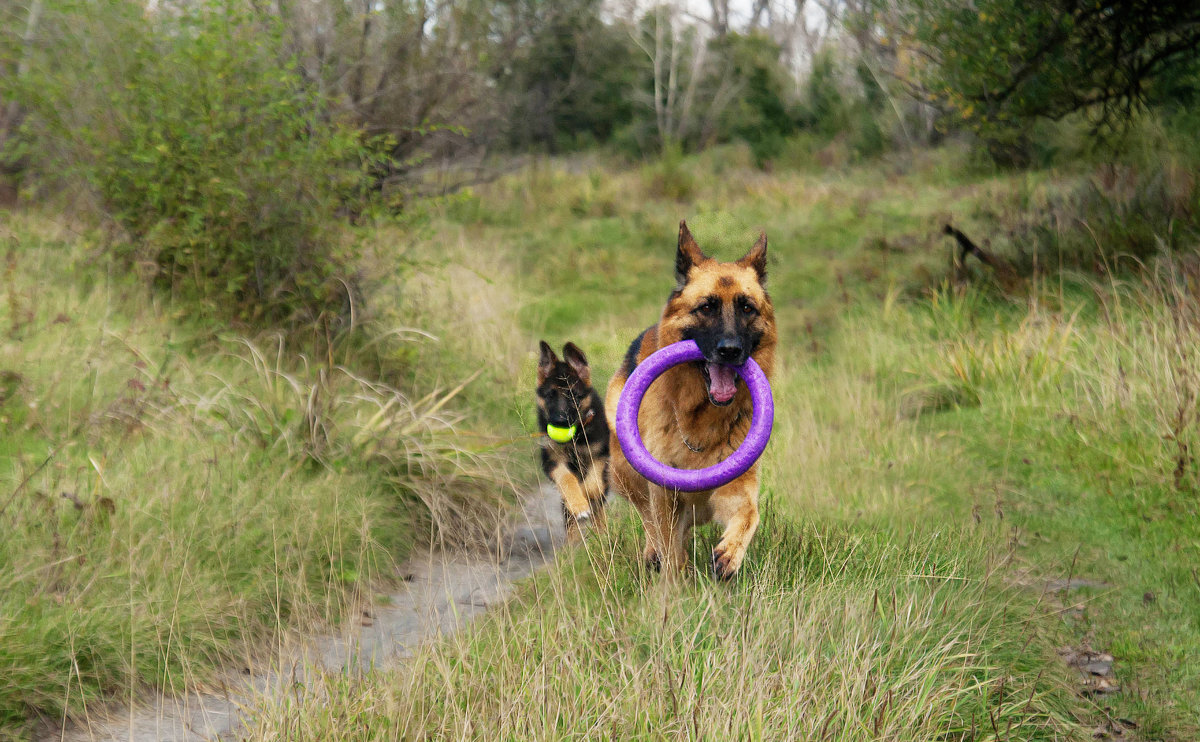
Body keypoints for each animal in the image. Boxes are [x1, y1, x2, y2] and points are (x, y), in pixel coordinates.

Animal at [537, 338, 609, 537]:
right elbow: (567, 479)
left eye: (574, 396)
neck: (576, 439)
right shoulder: (552, 461)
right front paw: (578, 504)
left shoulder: (601, 455)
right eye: (549, 396)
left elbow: (593, 484)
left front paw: (586, 494)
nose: (559, 422)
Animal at [609, 220, 777, 578]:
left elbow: (749, 515)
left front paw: (729, 555)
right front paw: (674, 581)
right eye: (707, 307)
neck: (699, 420)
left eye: (747, 308)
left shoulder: (736, 486)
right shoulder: (663, 493)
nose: (730, 351)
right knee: (649, 520)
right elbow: (667, 540)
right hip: (625, 472)